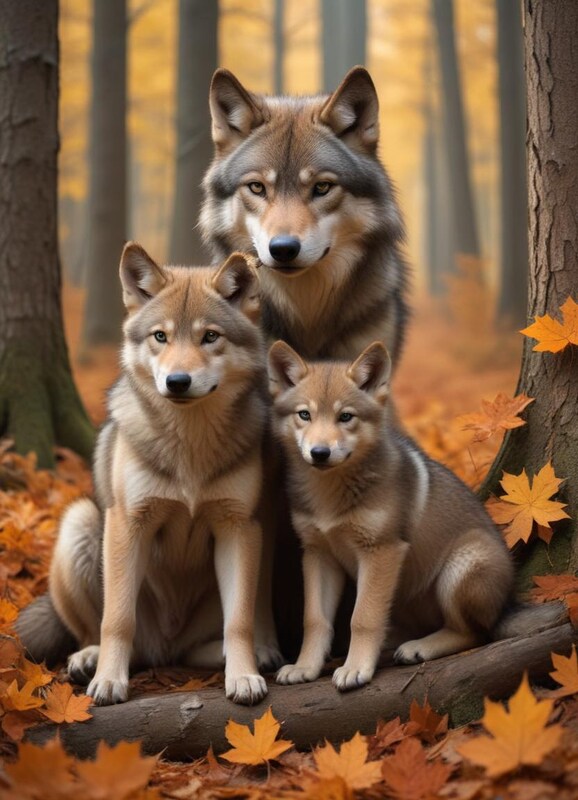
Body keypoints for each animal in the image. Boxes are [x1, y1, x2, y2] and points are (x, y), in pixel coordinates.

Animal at [17, 243, 276, 706]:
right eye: (160, 336)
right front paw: (109, 681)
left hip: (263, 542)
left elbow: (240, 621)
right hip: (81, 522)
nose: (178, 381)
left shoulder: (238, 526)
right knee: (102, 631)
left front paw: (243, 676)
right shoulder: (128, 523)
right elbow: (117, 619)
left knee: (212, 640)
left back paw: (252, 655)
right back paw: (89, 659)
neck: (189, 444)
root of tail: (164, 649)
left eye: (210, 336)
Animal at [268, 340, 517, 690]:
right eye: (305, 414)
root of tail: (507, 604)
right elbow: (315, 620)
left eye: (346, 417)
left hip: (462, 565)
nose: (320, 453)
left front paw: (355, 668)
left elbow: (363, 618)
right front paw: (305, 667)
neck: (330, 495)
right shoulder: (318, 554)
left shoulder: (382, 550)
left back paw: (419, 648)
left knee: (475, 633)